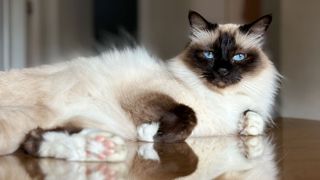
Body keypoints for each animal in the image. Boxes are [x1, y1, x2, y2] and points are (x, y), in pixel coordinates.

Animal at [0, 10, 280, 161]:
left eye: (238, 57)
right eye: (209, 55)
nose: (222, 71)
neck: (221, 100)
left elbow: (254, 122)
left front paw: (248, 124)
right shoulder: (144, 94)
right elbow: (187, 114)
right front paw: (151, 134)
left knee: (34, 141)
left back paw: (101, 149)